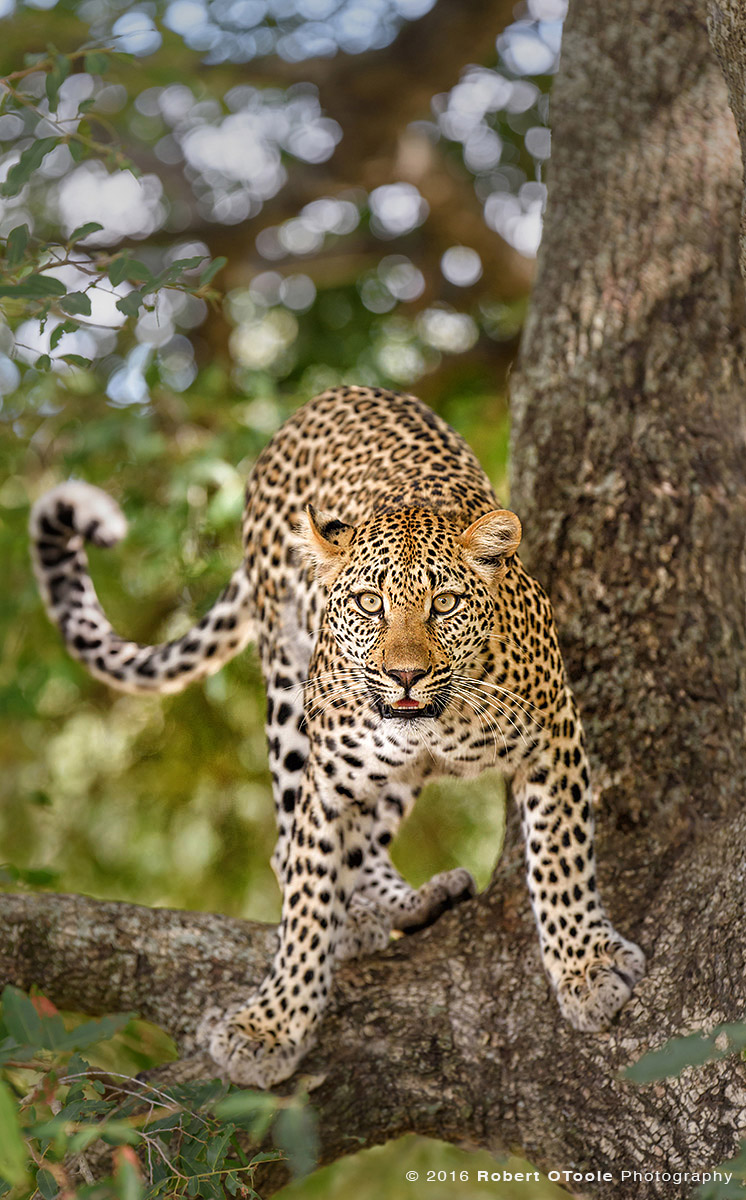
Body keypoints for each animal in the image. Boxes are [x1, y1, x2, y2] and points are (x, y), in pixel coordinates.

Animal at [32, 384, 647, 1089]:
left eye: (444, 604)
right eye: (369, 604)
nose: (405, 675)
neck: (443, 722)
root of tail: (316, 403)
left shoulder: (553, 739)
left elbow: (561, 859)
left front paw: (586, 967)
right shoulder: (328, 782)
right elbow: (305, 898)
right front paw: (271, 1025)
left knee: (373, 835)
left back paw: (407, 901)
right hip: (286, 691)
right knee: (287, 845)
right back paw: (356, 919)